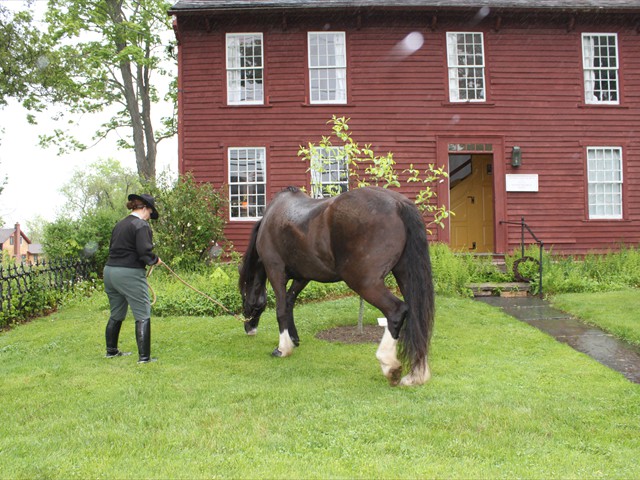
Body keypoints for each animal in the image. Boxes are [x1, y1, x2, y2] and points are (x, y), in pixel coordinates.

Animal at [238, 186, 435, 386]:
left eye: (243, 296)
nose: (249, 328)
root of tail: (397, 203)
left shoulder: (275, 270)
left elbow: (281, 309)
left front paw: (283, 348)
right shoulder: (303, 276)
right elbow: (289, 301)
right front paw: (293, 339)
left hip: (364, 282)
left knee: (397, 311)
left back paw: (389, 364)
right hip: (405, 275)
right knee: (416, 314)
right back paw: (415, 375)